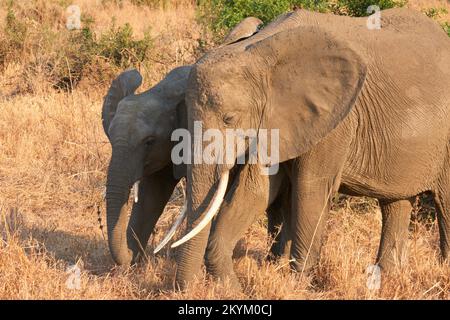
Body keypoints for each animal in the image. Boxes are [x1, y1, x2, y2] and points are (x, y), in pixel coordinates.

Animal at [171, 8, 450, 288]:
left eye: (229, 119)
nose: (185, 289)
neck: (259, 50)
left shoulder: (336, 121)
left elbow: (310, 188)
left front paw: (298, 285)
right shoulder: (275, 120)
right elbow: (257, 189)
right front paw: (235, 286)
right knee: (395, 202)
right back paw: (387, 279)